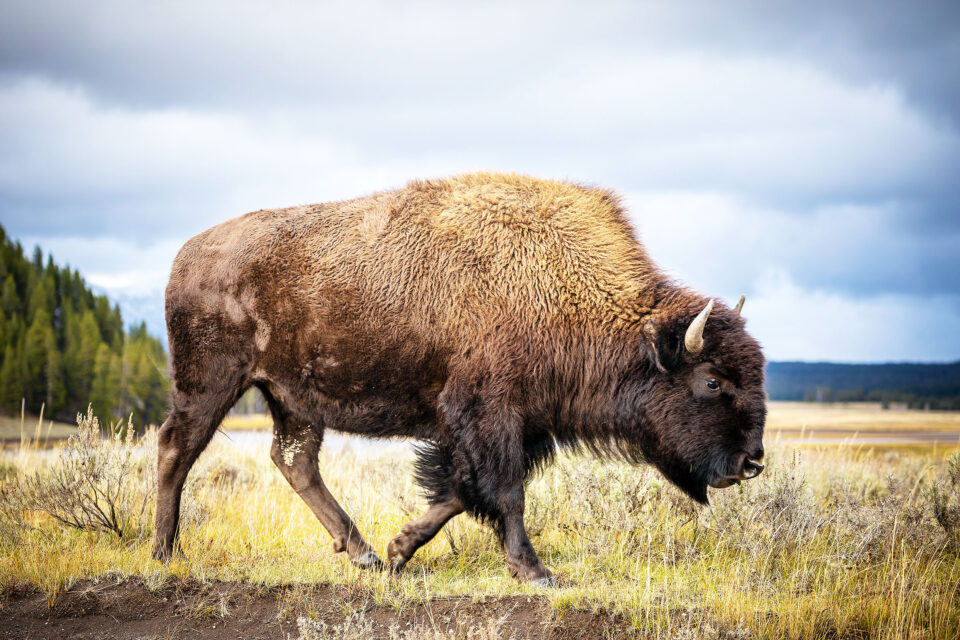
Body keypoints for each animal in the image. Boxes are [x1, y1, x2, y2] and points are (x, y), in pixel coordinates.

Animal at [152, 173, 766, 585]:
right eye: (712, 382)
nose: (752, 462)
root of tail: (185, 257)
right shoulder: (488, 413)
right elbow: (503, 492)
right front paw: (535, 572)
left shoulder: (515, 425)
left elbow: (461, 490)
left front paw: (398, 550)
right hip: (210, 383)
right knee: (176, 450)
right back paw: (165, 552)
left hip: (290, 399)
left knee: (294, 461)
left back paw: (363, 553)